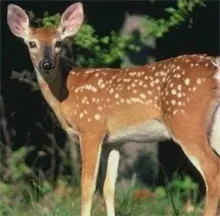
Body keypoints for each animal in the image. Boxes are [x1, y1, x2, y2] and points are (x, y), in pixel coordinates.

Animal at [6, 2, 220, 216]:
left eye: (58, 43)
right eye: (32, 44)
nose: (47, 64)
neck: (67, 94)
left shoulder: (91, 128)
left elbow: (87, 185)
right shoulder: (114, 141)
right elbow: (109, 188)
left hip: (185, 121)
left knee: (212, 170)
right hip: (211, 128)